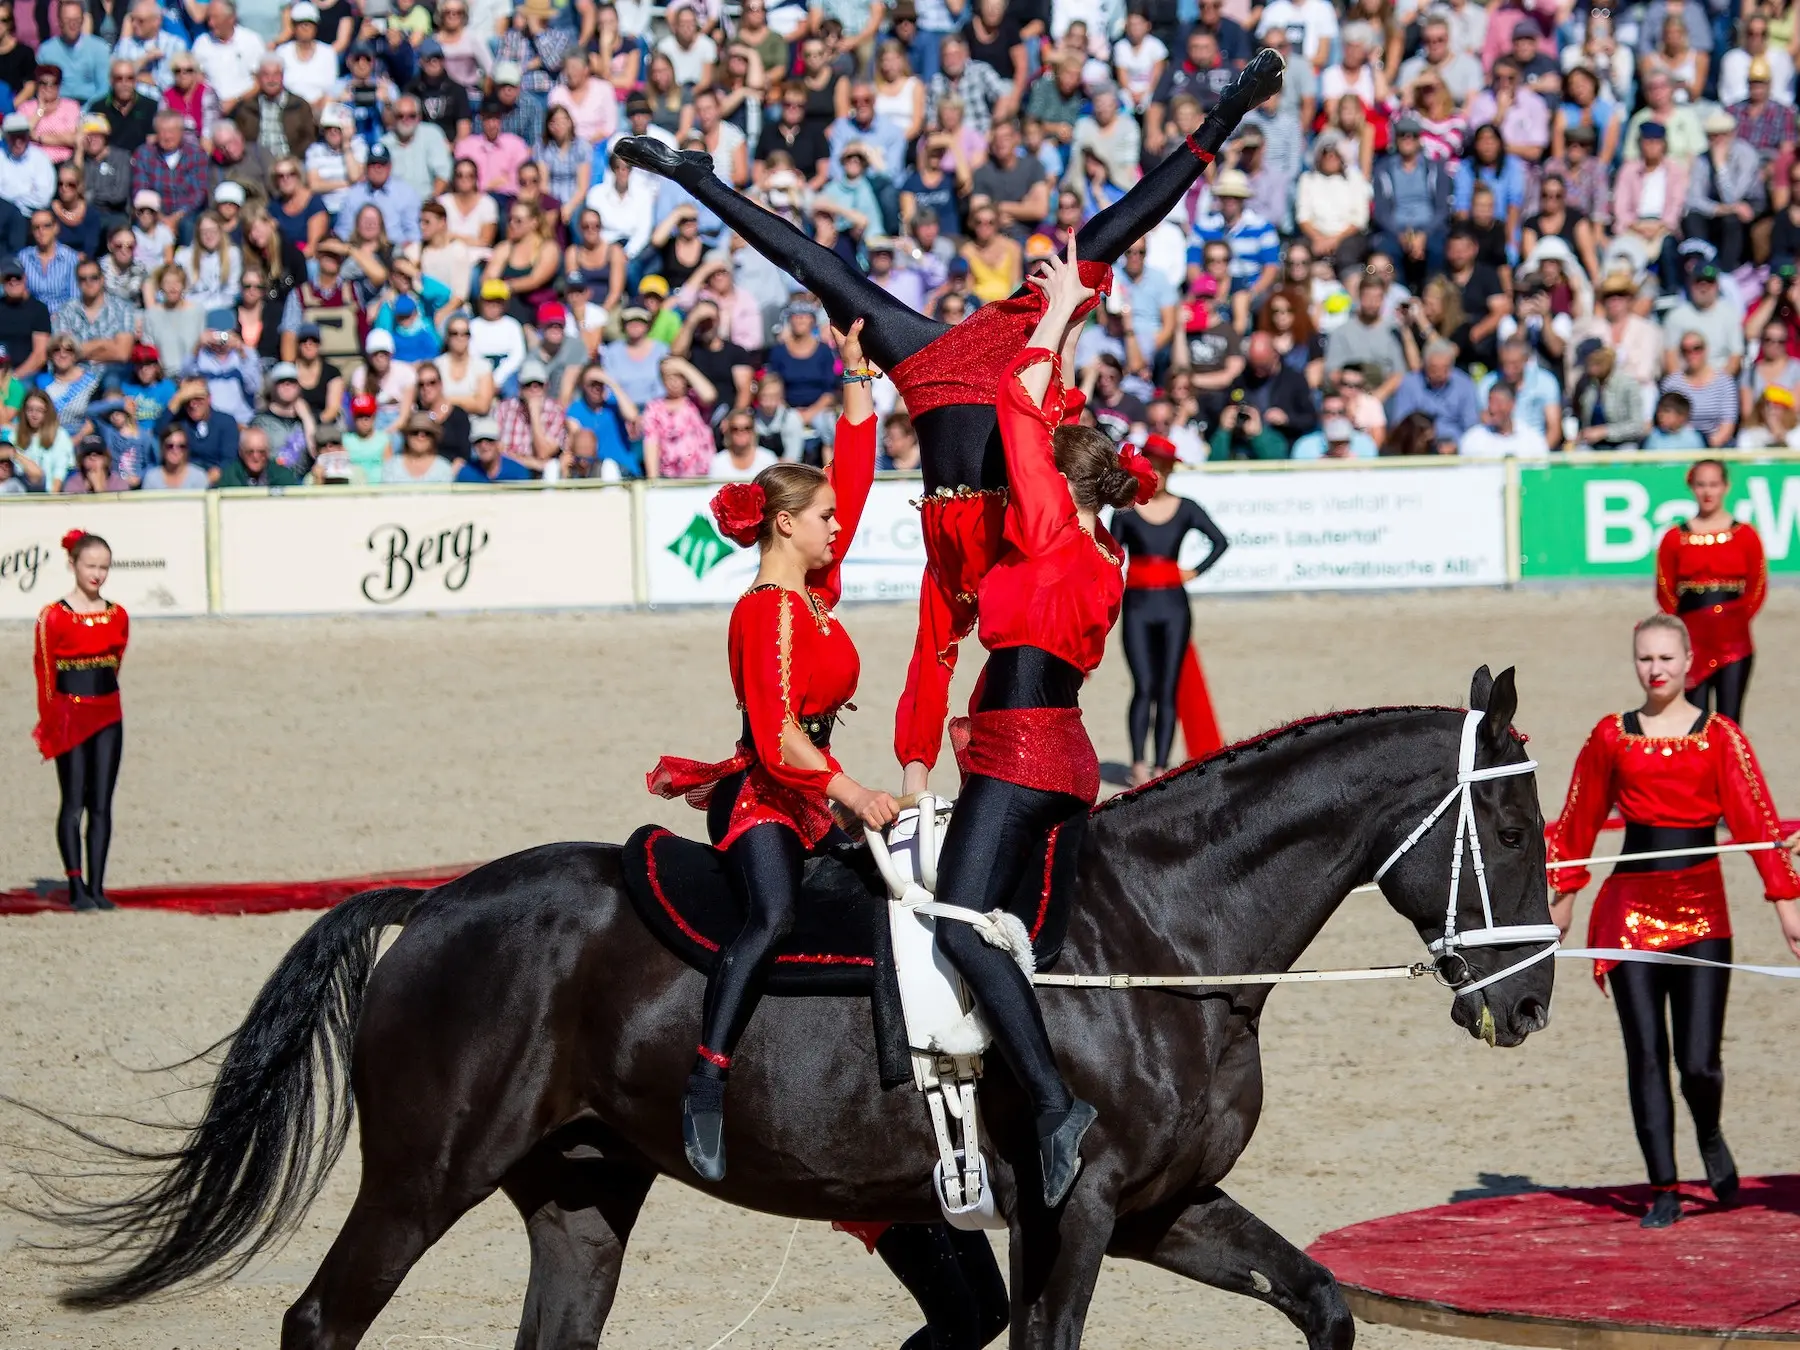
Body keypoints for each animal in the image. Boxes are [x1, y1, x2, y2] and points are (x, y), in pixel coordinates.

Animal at [29, 667, 1554, 1349]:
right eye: (1518, 826)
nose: (1532, 999)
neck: (1154, 940)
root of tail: (435, 899)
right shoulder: (1078, 1218)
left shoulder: (1164, 1207)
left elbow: (1323, 1300)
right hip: (419, 1179)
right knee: (319, 1323)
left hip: (580, 1193)